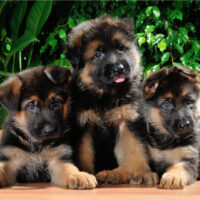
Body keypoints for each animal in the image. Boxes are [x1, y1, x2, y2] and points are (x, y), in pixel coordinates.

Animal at [65, 14, 158, 185]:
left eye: (120, 48)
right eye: (97, 54)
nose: (119, 69)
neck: (105, 97)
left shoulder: (127, 121)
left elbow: (135, 150)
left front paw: (142, 173)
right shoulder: (83, 126)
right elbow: (84, 154)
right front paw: (85, 174)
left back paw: (113, 174)